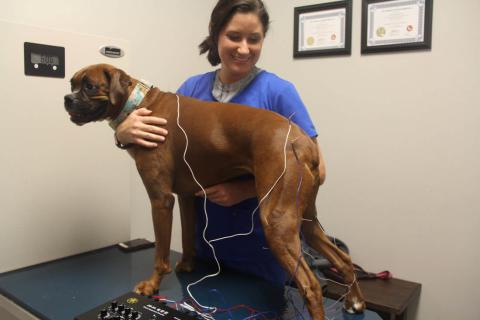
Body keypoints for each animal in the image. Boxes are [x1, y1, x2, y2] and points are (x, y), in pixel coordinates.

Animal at [62, 63, 364, 318]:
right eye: (72, 83)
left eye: (89, 86)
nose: (67, 98)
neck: (141, 105)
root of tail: (302, 141)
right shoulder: (185, 197)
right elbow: (186, 236)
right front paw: (187, 265)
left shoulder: (160, 200)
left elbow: (161, 252)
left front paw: (152, 285)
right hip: (305, 220)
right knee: (343, 258)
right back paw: (355, 302)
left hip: (277, 221)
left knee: (310, 285)